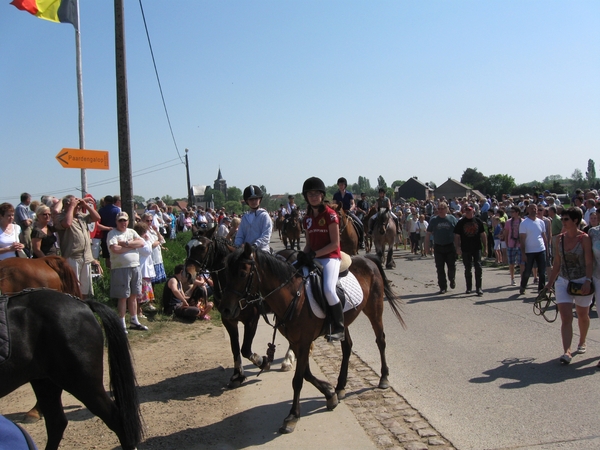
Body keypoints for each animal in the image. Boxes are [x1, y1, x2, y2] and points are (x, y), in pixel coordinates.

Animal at [183, 229, 296, 386]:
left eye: (202, 247)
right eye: (187, 248)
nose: (188, 274)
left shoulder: (252, 319)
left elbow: (245, 349)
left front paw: (263, 362)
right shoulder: (228, 319)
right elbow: (235, 348)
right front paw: (238, 375)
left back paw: (287, 360)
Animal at [223, 244, 406, 434]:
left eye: (242, 274)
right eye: (226, 273)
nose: (225, 309)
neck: (294, 296)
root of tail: (368, 259)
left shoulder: (304, 342)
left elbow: (298, 379)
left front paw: (292, 416)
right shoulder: (296, 341)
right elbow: (306, 374)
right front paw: (330, 394)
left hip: (374, 309)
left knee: (381, 341)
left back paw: (383, 378)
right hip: (344, 322)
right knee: (347, 347)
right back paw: (340, 387)